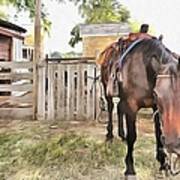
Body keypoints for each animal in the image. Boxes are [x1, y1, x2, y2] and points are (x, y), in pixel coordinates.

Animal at [105, 38, 179, 176]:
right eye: (156, 94)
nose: (175, 145)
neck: (144, 70)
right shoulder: (131, 106)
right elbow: (132, 136)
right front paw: (129, 168)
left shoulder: (155, 107)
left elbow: (158, 133)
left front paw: (162, 163)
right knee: (111, 107)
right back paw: (110, 136)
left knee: (119, 108)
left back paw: (121, 135)